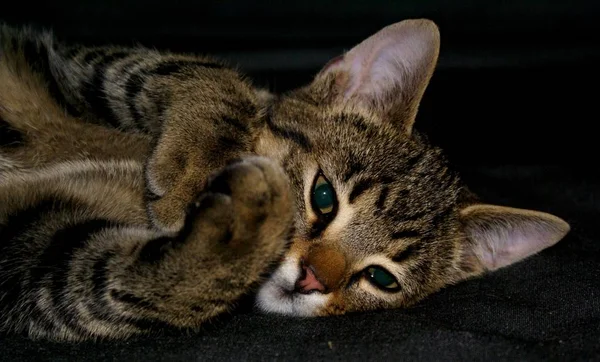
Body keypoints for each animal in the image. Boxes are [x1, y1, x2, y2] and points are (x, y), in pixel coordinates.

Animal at [0, 19, 572, 342]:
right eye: (323, 197)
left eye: (381, 279)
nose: (312, 281)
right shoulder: (85, 64)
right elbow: (206, 76)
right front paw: (194, 172)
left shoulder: (35, 264)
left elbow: (123, 290)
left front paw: (244, 225)